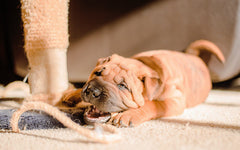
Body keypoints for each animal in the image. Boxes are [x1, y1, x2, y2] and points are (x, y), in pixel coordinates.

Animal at [60, 39, 225, 126]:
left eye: (123, 86)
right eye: (98, 73)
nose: (92, 91)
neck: (148, 65)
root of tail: (193, 56)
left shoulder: (175, 100)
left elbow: (153, 104)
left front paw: (128, 116)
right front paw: (73, 93)